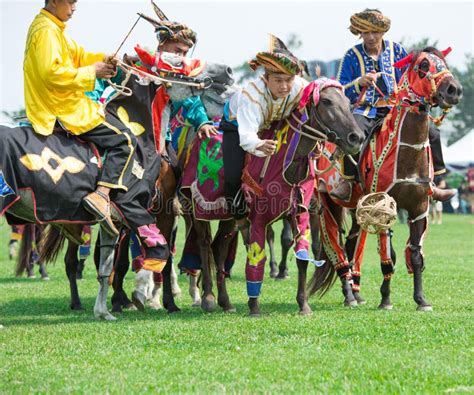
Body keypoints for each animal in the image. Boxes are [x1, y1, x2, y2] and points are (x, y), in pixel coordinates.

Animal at [308, 48, 462, 310]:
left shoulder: (419, 208)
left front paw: (421, 300)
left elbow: (415, 256)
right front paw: (386, 299)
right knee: (334, 245)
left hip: (357, 209)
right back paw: (349, 294)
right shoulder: (384, 207)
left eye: (445, 63)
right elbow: (389, 256)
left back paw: (356, 292)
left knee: (351, 243)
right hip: (327, 202)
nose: (454, 89)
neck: (407, 157)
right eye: (423, 65)